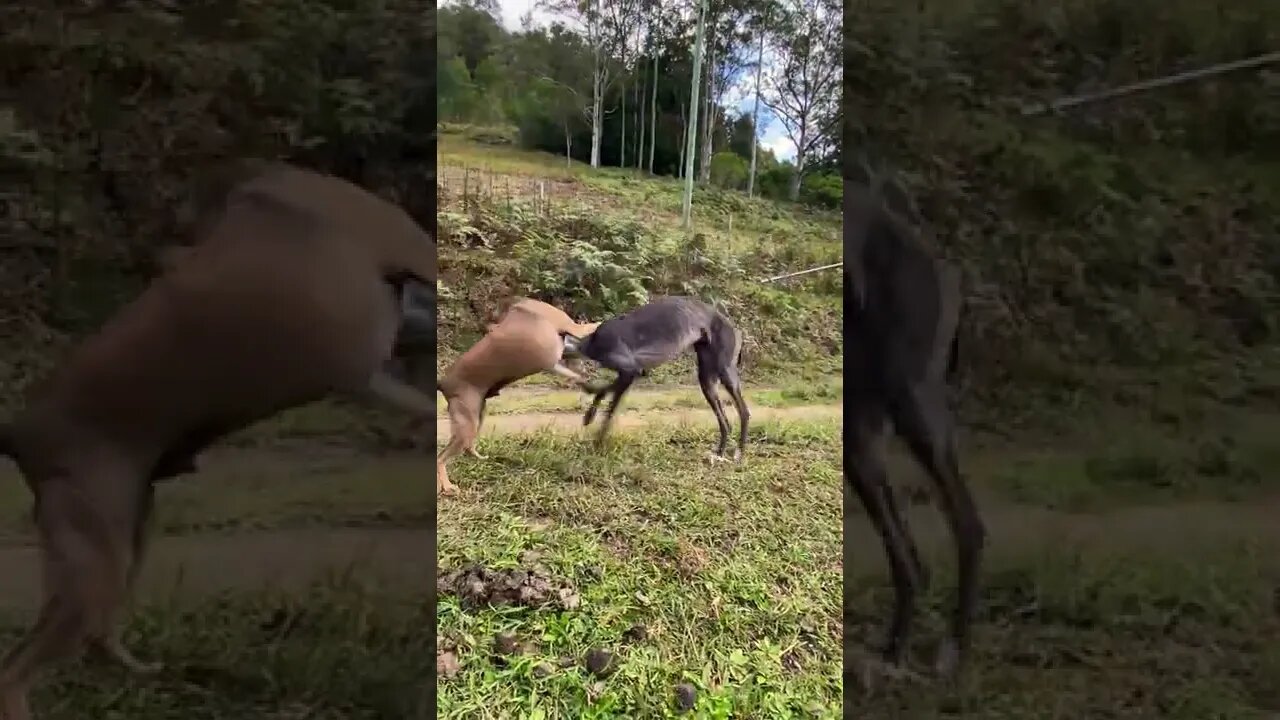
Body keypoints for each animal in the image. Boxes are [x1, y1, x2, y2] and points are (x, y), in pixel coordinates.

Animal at [0, 161, 437, 717]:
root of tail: (18, 431)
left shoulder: (379, 363)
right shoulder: (381, 339)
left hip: (124, 536)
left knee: (90, 641)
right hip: (95, 561)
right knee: (15, 672)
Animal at [437, 297, 596, 491]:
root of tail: (443, 383)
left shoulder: (557, 360)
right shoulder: (573, 333)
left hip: (475, 418)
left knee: (465, 448)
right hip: (467, 425)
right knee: (441, 458)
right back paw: (447, 486)